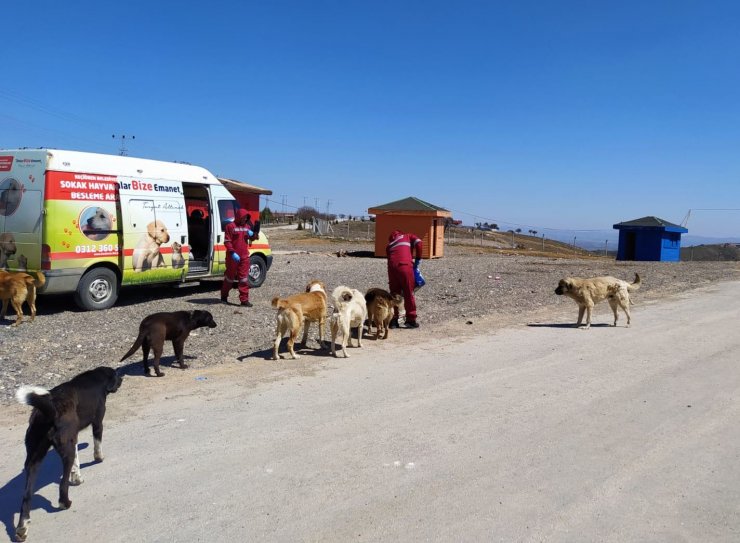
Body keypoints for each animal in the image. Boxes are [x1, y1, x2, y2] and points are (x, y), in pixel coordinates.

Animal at [14, 368, 123, 540]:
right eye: (116, 375)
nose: (122, 379)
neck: (95, 378)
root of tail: (48, 412)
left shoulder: (73, 438)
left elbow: (76, 463)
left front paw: (77, 477)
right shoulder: (97, 422)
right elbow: (97, 444)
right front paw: (99, 458)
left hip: (34, 459)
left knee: (26, 497)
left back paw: (22, 528)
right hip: (65, 452)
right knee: (62, 484)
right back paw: (65, 503)